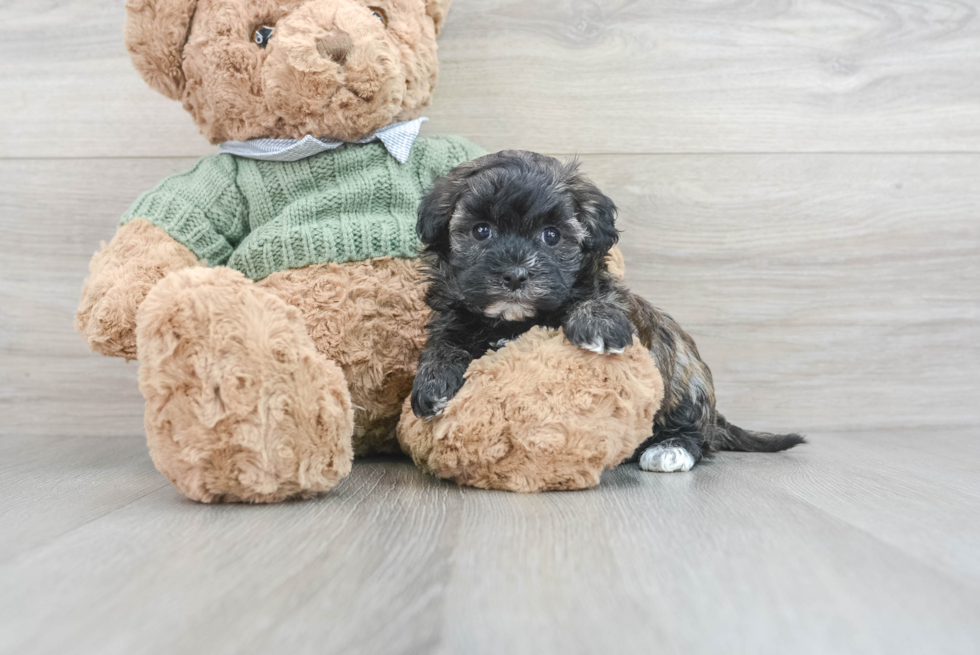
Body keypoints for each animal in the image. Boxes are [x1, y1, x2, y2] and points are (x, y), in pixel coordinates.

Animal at [410, 149, 800, 472]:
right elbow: (443, 342)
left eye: (551, 236)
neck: (514, 322)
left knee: (697, 433)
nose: (515, 275)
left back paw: (671, 450)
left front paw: (597, 323)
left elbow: (597, 299)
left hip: (684, 383)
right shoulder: (453, 317)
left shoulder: (613, 302)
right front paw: (433, 382)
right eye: (481, 231)